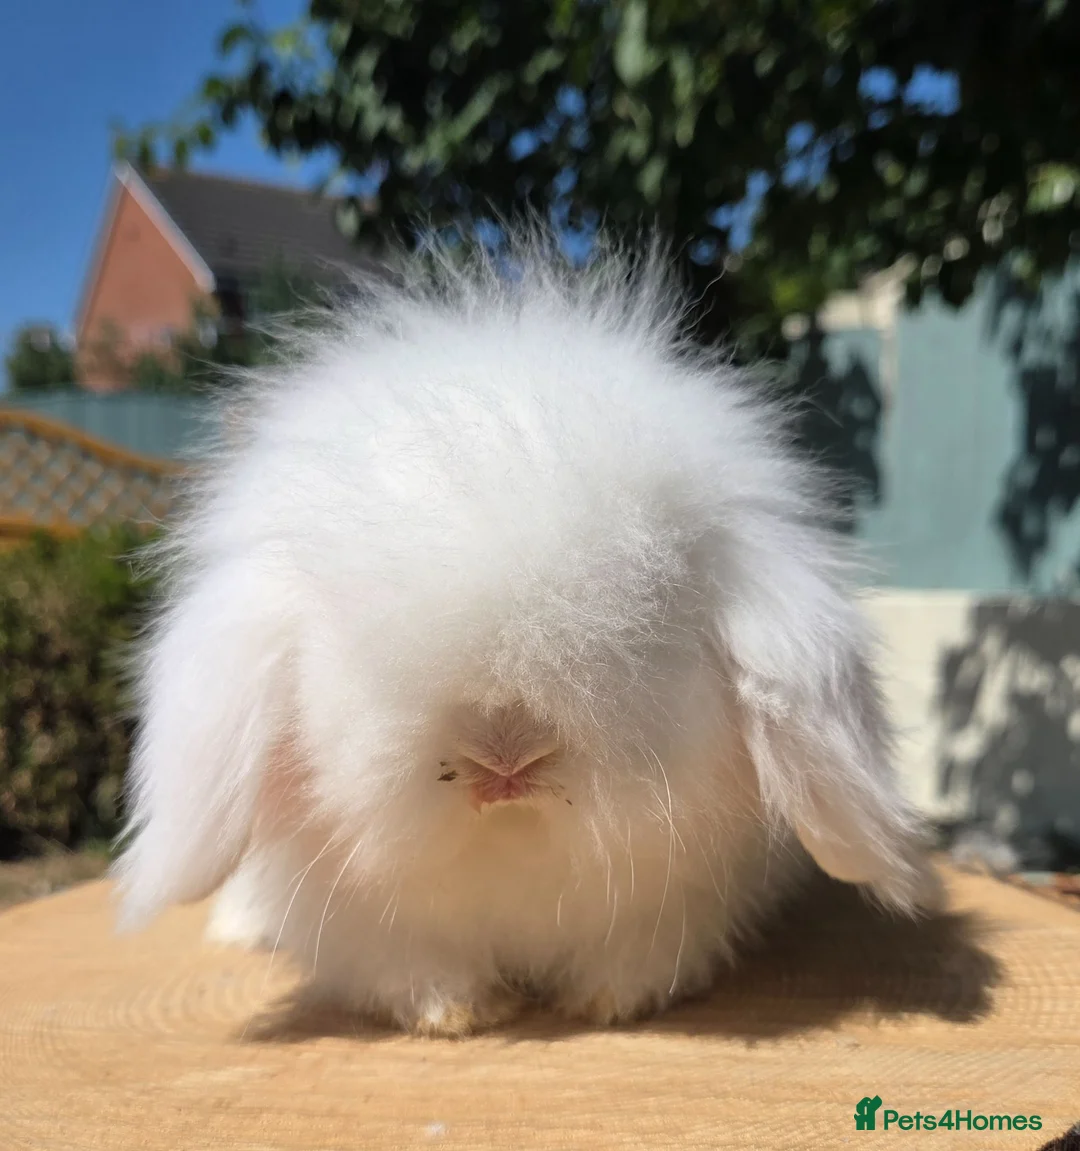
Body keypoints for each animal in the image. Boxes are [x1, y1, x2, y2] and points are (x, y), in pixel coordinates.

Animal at [113, 229, 941, 1036]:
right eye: (345, 640)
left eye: (654, 611)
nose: (504, 752)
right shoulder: (363, 922)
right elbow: (413, 965)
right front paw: (458, 1013)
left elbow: (636, 956)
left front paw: (608, 1003)